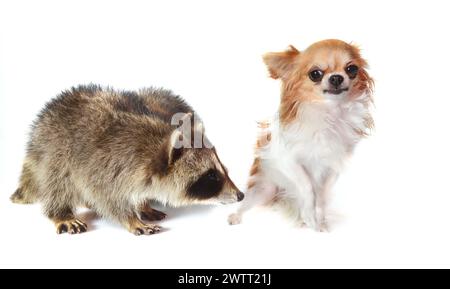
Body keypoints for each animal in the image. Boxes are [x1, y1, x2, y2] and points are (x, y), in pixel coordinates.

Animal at [10, 83, 243, 234]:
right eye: (211, 176)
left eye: (223, 170)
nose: (241, 195)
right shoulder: (102, 165)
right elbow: (106, 197)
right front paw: (130, 218)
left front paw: (142, 204)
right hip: (54, 150)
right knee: (57, 182)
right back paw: (61, 212)